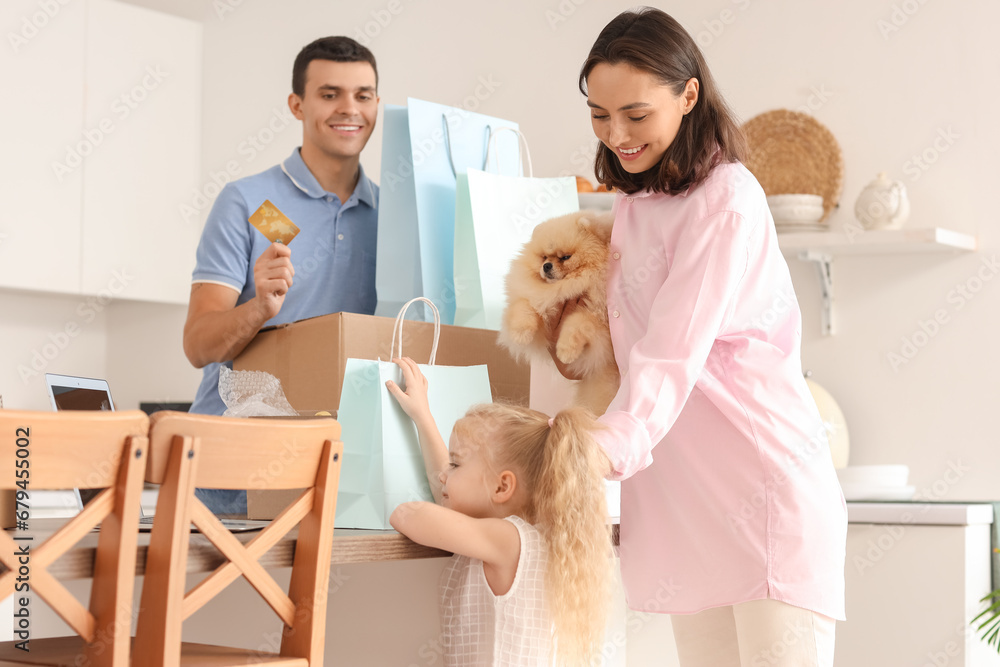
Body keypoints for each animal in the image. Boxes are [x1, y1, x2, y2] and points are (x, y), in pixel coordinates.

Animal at [498, 211, 616, 414]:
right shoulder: (535, 302)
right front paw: (520, 334)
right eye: (544, 257)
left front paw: (566, 351)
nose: (546, 266)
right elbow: (524, 307)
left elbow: (576, 324)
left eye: (566, 257)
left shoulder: (597, 320)